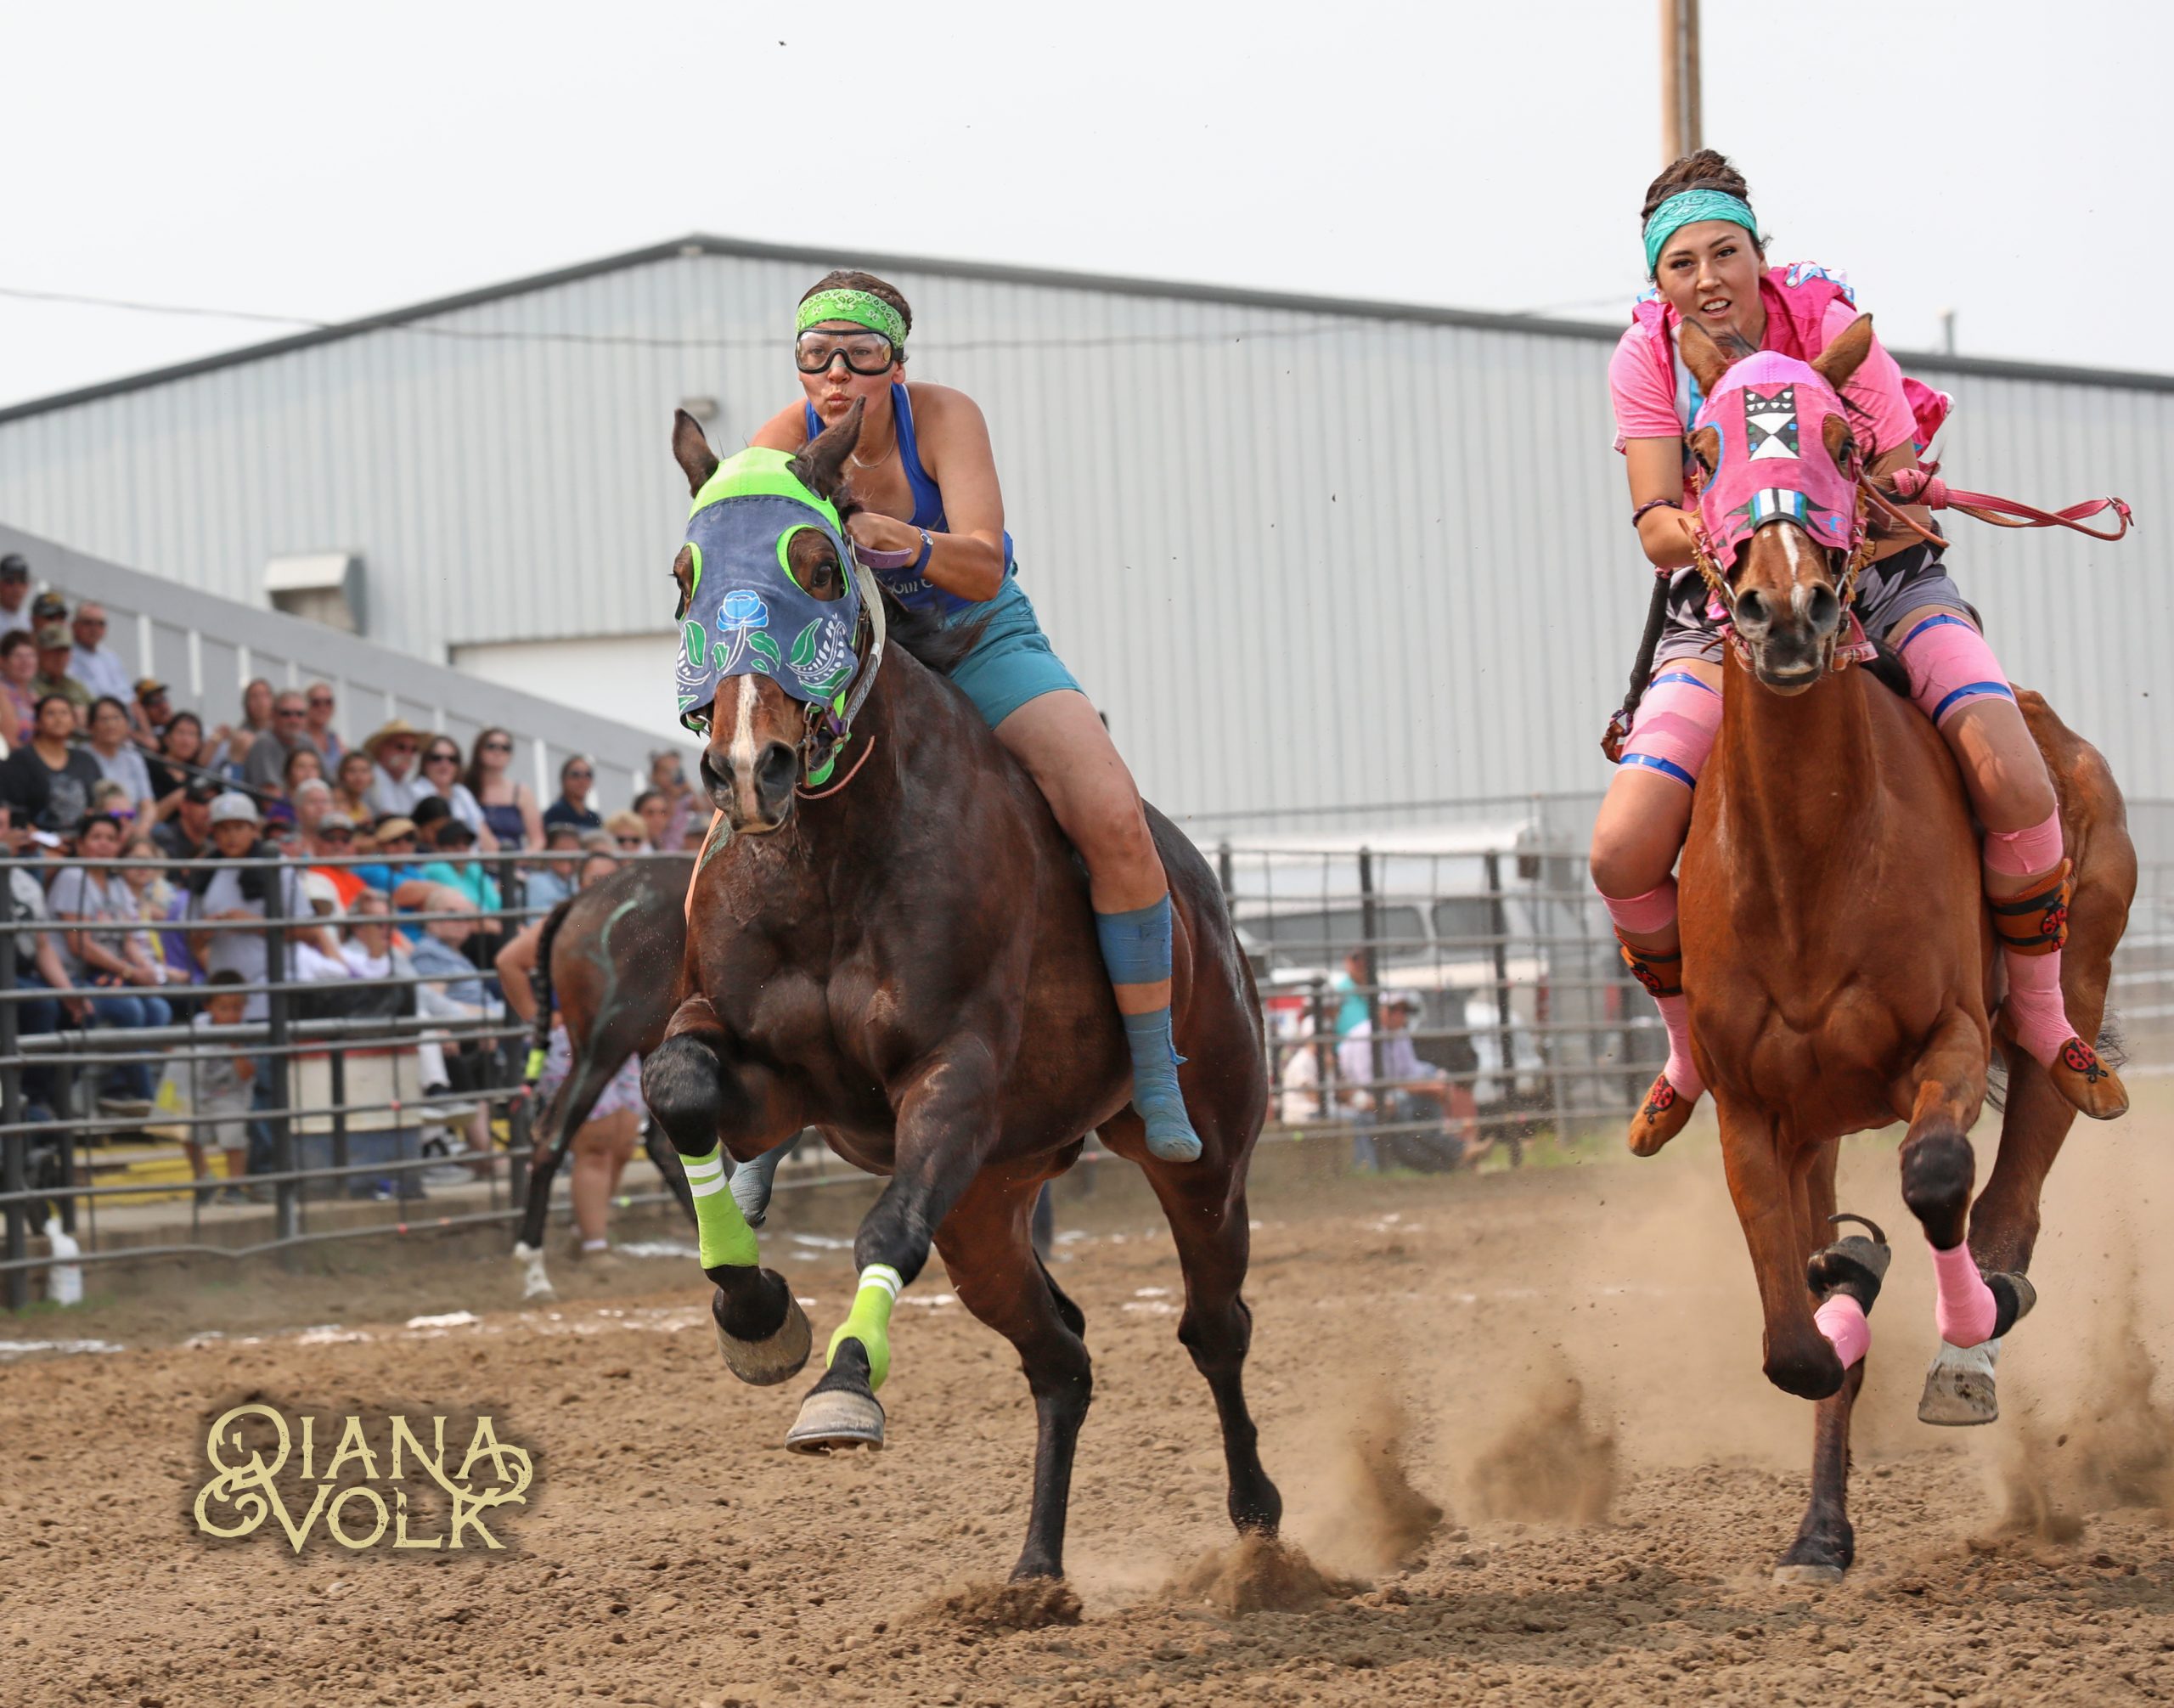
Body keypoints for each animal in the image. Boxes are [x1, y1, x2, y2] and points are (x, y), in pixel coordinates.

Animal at [634, 406, 1278, 1573]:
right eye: (684, 577)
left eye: (817, 565)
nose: (749, 767)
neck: (835, 851)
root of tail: (1204, 904)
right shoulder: (776, 1078)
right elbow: (681, 1087)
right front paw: (755, 1310)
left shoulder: (957, 1075)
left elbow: (887, 1231)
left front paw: (843, 1387)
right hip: (989, 1203)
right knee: (1060, 1356)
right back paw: (1033, 1573)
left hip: (1204, 1160)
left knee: (1214, 1325)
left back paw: (1257, 1524)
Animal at [1670, 313, 2130, 1573]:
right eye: (1703, 448)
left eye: (1842, 440)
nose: (1788, 612)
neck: (1811, 863)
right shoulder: (1754, 1107)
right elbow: (1795, 1341)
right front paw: (1844, 1281)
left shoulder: (1948, 1042)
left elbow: (1934, 1178)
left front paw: (1949, 1311)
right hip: (1820, 1120)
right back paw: (1821, 1525)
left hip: (2064, 988)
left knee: (2016, 1191)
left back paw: (1976, 1336)